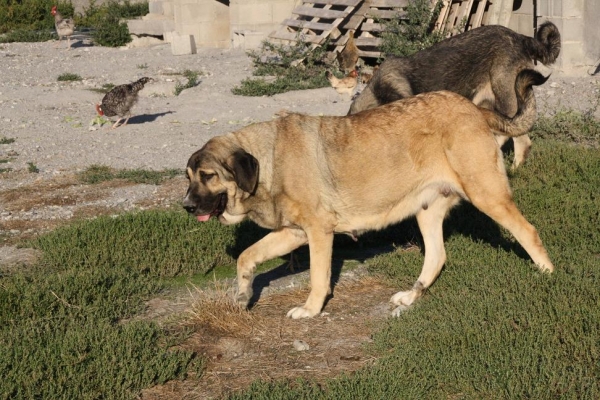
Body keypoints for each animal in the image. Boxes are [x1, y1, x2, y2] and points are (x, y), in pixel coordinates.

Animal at [182, 83, 552, 318]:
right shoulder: (293, 233)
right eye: (187, 177)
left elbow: (318, 277)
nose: (186, 207)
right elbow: (247, 256)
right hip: (426, 211)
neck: (268, 160)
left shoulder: (318, 232)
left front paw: (310, 310)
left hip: (487, 195)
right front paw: (243, 294)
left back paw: (547, 274)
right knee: (437, 256)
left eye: (208, 176)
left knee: (528, 231)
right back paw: (411, 295)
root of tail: (472, 107)